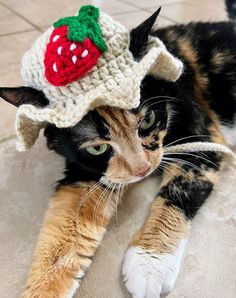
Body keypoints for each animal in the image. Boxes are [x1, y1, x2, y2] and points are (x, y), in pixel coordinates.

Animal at [0, 2, 236, 298]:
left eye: (147, 120)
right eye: (98, 148)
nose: (143, 169)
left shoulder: (201, 137)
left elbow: (178, 191)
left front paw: (150, 263)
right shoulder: (85, 171)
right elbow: (63, 232)